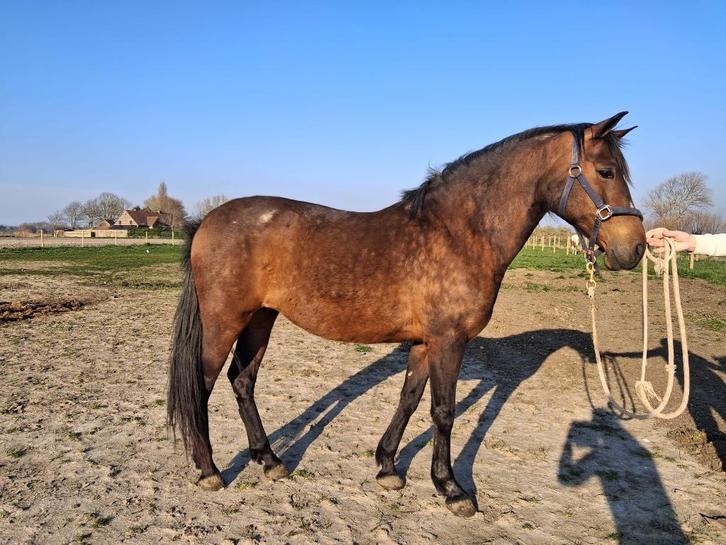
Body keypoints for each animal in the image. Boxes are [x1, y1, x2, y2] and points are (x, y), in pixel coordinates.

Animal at [167, 112, 645, 517]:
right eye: (606, 171)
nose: (635, 248)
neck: (459, 233)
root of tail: (207, 221)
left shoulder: (423, 342)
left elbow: (409, 399)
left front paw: (387, 468)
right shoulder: (449, 341)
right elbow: (444, 411)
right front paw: (451, 489)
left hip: (261, 319)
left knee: (242, 381)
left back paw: (270, 460)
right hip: (225, 321)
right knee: (202, 384)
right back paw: (209, 470)